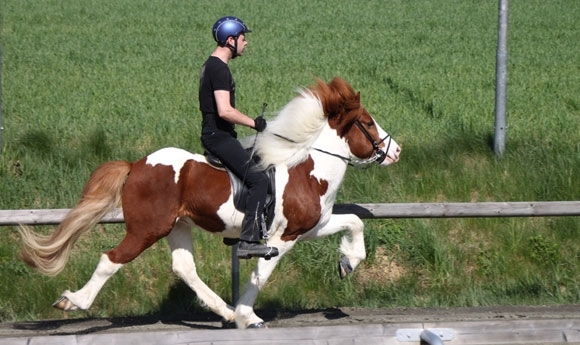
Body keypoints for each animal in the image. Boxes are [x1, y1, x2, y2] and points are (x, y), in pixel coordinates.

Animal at [18, 77, 398, 328]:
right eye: (367, 123)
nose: (395, 150)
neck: (306, 167)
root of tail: (136, 164)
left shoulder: (312, 226)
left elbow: (354, 222)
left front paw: (347, 263)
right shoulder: (282, 238)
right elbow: (262, 273)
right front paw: (248, 315)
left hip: (177, 225)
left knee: (184, 268)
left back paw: (224, 311)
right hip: (147, 228)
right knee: (111, 259)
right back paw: (73, 301)